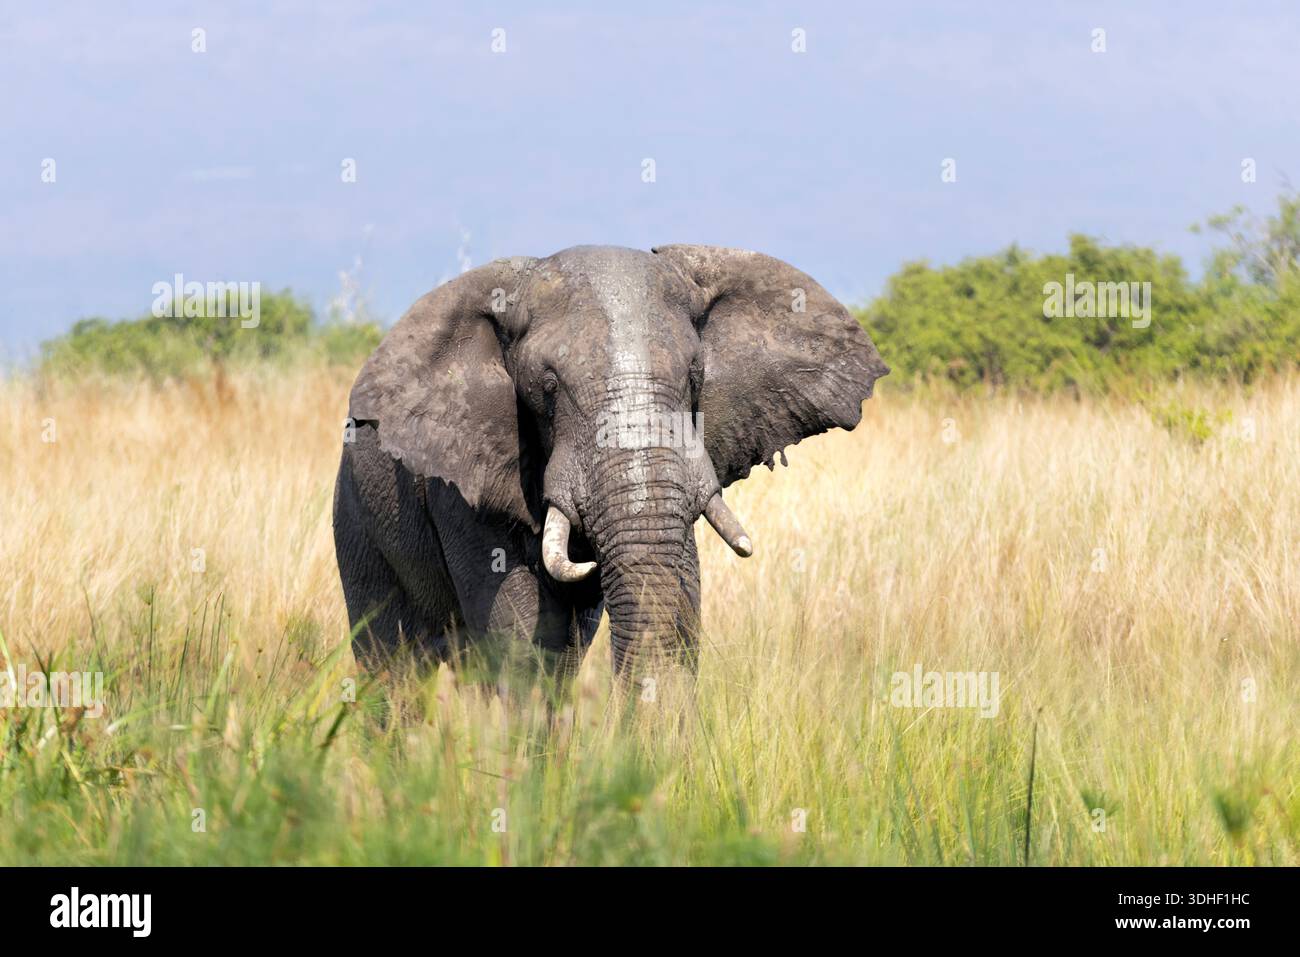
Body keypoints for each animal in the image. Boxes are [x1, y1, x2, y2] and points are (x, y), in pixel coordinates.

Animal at [332, 244, 888, 684]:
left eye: (695, 375)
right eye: (547, 387)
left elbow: (672, 596)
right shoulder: (464, 482)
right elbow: (522, 637)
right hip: (355, 519)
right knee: (392, 668)